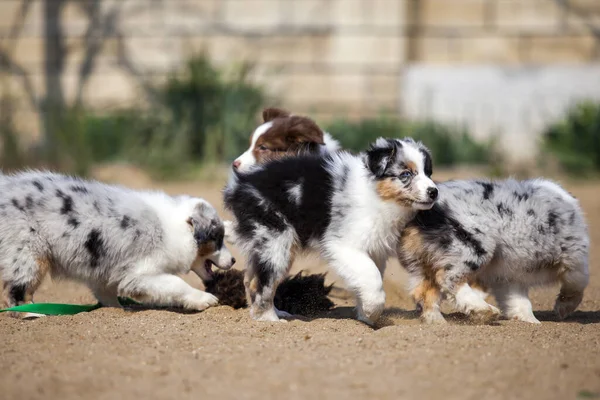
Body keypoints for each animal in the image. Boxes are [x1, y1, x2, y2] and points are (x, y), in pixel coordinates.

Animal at [223, 138, 438, 324]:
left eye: (428, 173)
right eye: (406, 174)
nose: (434, 192)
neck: (376, 194)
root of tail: (238, 187)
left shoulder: (374, 250)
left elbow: (366, 278)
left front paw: (364, 315)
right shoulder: (343, 245)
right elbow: (372, 277)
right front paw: (373, 312)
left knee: (251, 279)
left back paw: (276, 313)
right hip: (275, 241)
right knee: (262, 283)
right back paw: (269, 319)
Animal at [398, 178, 592, 324]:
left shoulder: (510, 276)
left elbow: (518, 301)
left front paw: (531, 323)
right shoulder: (574, 255)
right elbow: (577, 283)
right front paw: (562, 309)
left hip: (422, 263)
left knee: (424, 292)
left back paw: (438, 322)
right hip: (474, 247)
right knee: (448, 279)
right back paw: (485, 311)